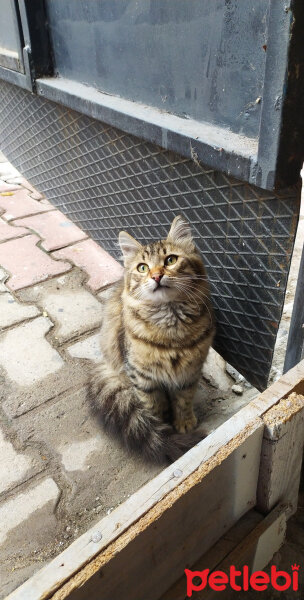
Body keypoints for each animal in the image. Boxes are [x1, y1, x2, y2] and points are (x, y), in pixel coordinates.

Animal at [88, 216, 215, 464]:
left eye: (171, 260)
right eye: (143, 268)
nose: (156, 276)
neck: (171, 326)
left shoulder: (189, 373)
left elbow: (183, 400)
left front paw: (184, 422)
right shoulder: (143, 377)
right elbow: (153, 405)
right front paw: (161, 426)